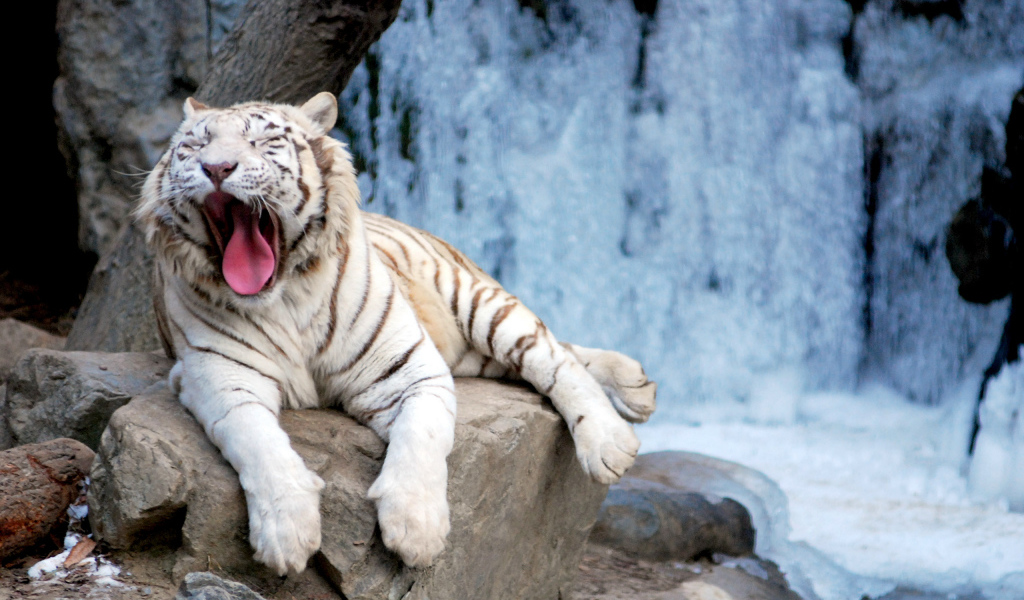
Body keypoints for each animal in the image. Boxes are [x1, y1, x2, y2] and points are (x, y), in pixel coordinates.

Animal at [134, 92, 657, 576]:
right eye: (195, 145)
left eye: (261, 141)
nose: (216, 167)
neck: (283, 297)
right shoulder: (220, 378)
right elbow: (258, 443)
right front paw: (287, 534)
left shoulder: (409, 367)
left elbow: (422, 436)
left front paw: (416, 530)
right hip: (472, 354)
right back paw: (637, 384)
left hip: (476, 301)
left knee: (552, 355)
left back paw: (612, 437)